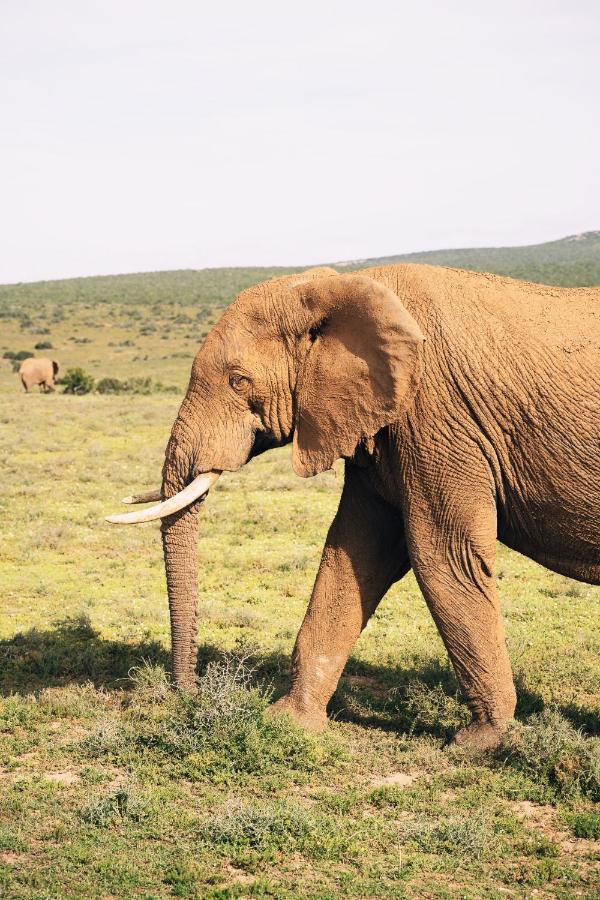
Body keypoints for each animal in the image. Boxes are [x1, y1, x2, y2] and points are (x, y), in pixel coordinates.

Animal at [108, 264, 600, 748]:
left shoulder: (438, 418)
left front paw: (481, 742)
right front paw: (289, 723)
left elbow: (443, 555)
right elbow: (354, 552)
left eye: (238, 380)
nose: (188, 695)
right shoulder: (380, 428)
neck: (338, 284)